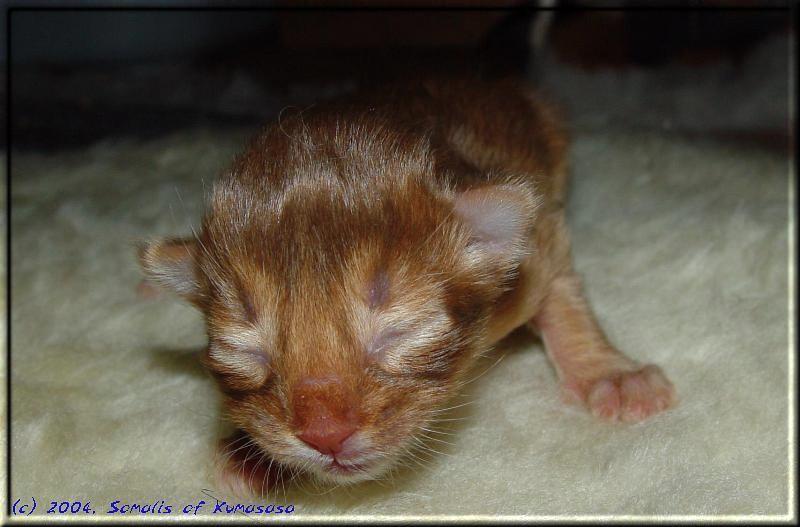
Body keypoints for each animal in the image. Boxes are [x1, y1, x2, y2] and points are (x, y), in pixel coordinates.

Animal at [138, 77, 676, 496]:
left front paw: (611, 375)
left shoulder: (541, 242)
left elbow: (563, 298)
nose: (325, 435)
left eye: (401, 333)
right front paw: (248, 455)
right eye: (243, 352)